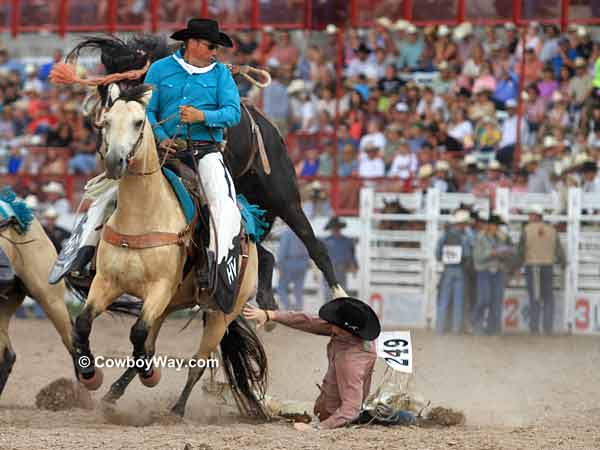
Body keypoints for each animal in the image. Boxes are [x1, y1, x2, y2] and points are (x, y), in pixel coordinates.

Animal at [69, 85, 268, 418]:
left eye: (138, 122)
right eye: (106, 121)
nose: (114, 162)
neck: (142, 216)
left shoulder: (159, 289)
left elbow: (137, 334)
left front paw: (151, 376)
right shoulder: (107, 283)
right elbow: (86, 324)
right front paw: (90, 376)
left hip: (220, 314)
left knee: (197, 362)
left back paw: (176, 409)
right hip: (169, 304)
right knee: (147, 346)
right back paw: (112, 395)